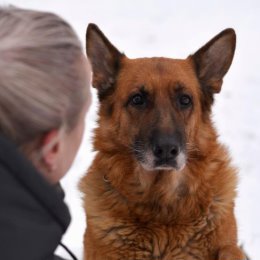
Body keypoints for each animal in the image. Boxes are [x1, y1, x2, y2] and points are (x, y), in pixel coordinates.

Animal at [79, 24, 246, 260]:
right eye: (137, 99)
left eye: (185, 100)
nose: (167, 150)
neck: (162, 209)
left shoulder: (228, 243)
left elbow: (230, 249)